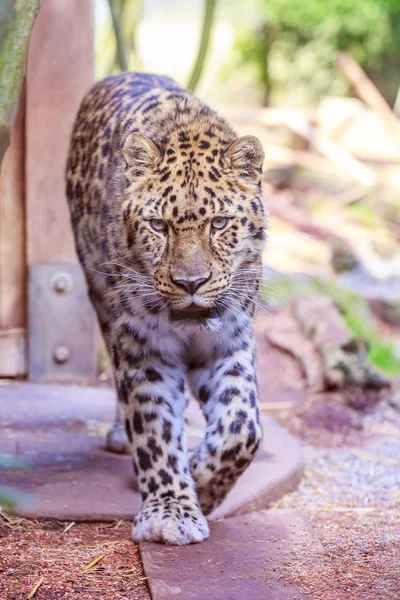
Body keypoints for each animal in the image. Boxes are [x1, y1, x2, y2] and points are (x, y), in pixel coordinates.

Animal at [65, 72, 268, 548]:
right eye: (159, 226)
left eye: (219, 224)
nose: (190, 284)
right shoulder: (144, 349)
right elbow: (154, 426)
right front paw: (170, 510)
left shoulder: (230, 340)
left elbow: (243, 427)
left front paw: (203, 482)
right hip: (101, 300)